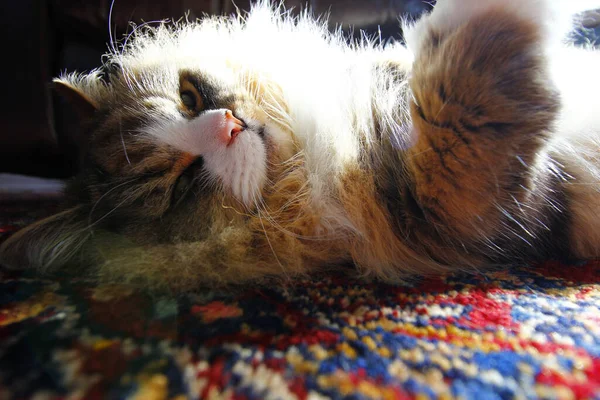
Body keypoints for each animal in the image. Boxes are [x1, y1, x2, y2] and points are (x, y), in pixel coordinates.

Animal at [1, 0, 600, 294]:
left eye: (189, 97)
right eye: (180, 184)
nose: (231, 125)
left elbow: (415, 67)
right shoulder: (454, 206)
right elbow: (467, 82)